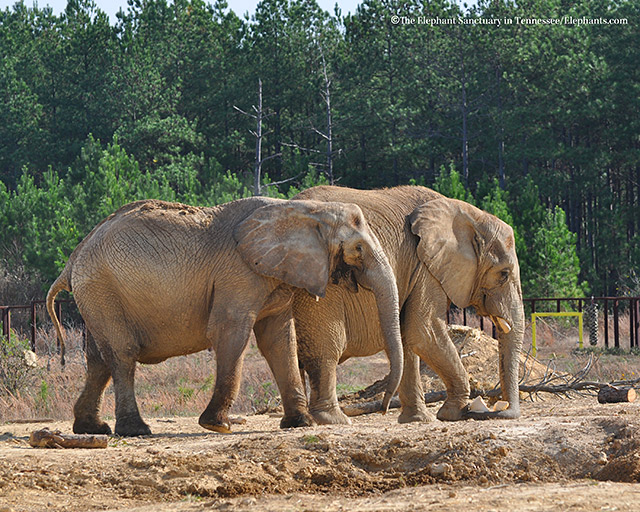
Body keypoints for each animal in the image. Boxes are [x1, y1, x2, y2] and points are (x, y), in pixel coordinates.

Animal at [46, 196, 404, 436]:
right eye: (357, 249)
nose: (386, 407)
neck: (301, 209)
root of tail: (74, 256)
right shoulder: (239, 274)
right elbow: (231, 333)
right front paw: (217, 426)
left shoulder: (273, 277)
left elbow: (278, 341)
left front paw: (300, 424)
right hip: (103, 288)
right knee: (122, 354)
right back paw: (136, 431)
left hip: (97, 296)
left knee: (99, 359)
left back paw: (92, 428)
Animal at [292, 184, 524, 424]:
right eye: (504, 274)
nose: (497, 408)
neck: (469, 214)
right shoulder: (424, 267)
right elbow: (423, 332)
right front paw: (456, 413)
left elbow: (408, 338)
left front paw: (418, 419)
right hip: (319, 286)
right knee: (326, 349)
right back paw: (331, 420)